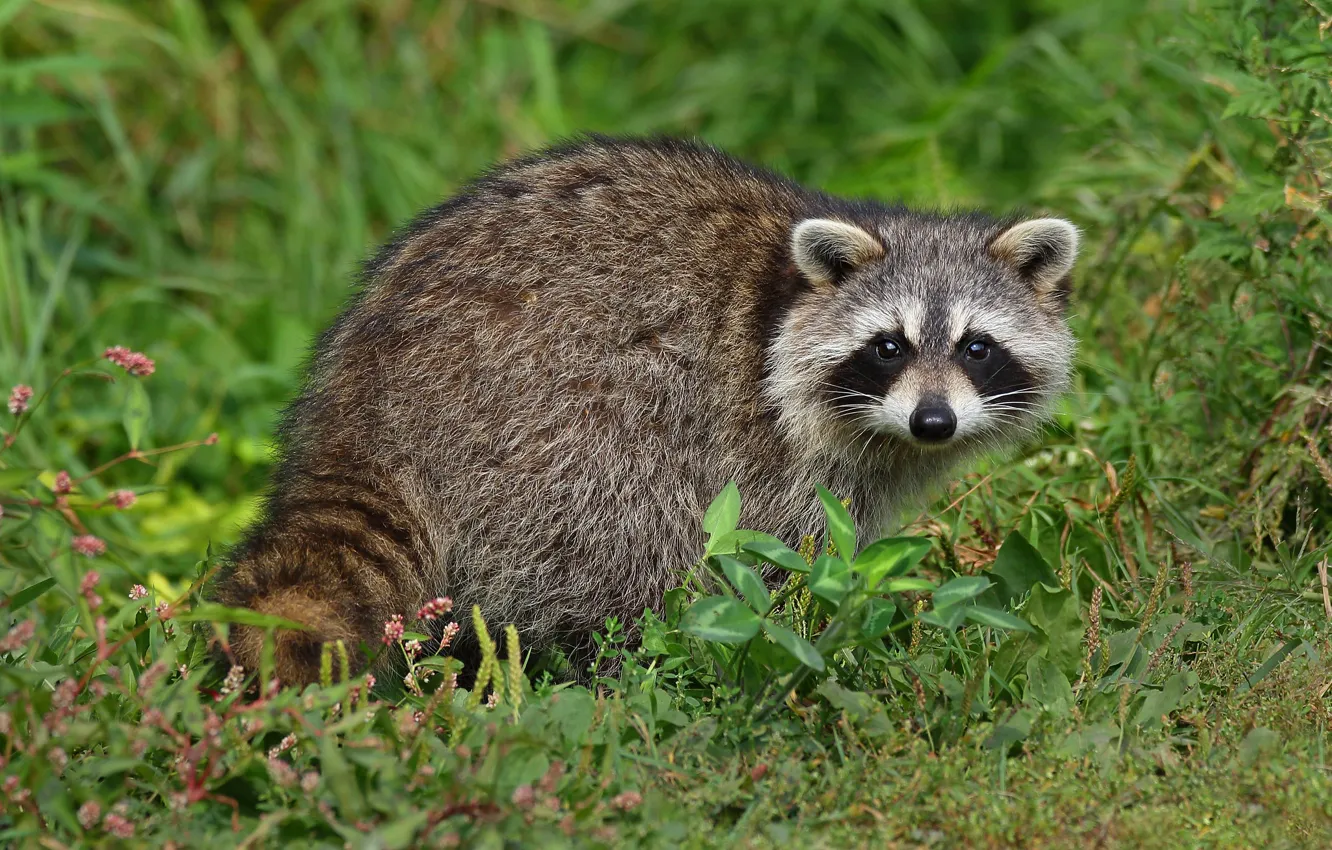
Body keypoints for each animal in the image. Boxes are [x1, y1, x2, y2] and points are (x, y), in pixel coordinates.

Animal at [210, 135, 1078, 685]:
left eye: (976, 347)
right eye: (888, 347)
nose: (934, 421)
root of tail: (368, 409)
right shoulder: (769, 444)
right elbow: (785, 562)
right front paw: (810, 639)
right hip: (564, 431)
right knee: (631, 543)